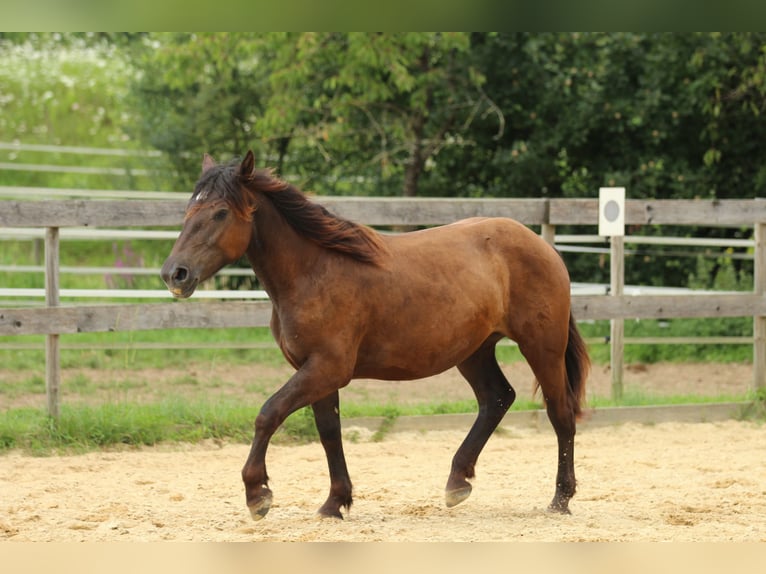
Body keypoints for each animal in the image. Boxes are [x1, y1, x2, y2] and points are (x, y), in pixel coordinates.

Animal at [162, 152, 592, 520]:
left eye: (220, 212)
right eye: (188, 211)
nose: (174, 274)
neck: (313, 271)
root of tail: (543, 247)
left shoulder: (327, 368)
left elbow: (269, 413)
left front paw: (258, 495)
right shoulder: (316, 371)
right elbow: (329, 433)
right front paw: (335, 503)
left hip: (542, 347)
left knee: (560, 413)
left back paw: (561, 498)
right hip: (474, 351)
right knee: (497, 399)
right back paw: (457, 482)